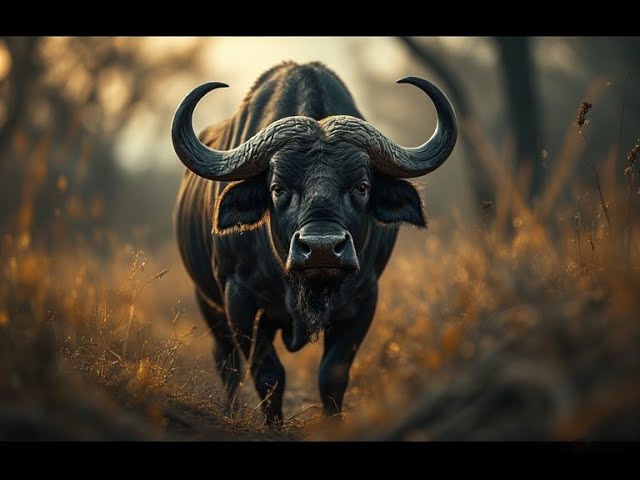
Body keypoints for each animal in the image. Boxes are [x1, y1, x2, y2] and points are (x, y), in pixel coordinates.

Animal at [172, 61, 457, 425]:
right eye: (277, 188)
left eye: (362, 186)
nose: (322, 248)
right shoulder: (238, 297)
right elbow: (268, 375)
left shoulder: (365, 298)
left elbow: (332, 374)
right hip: (207, 301)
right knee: (227, 362)